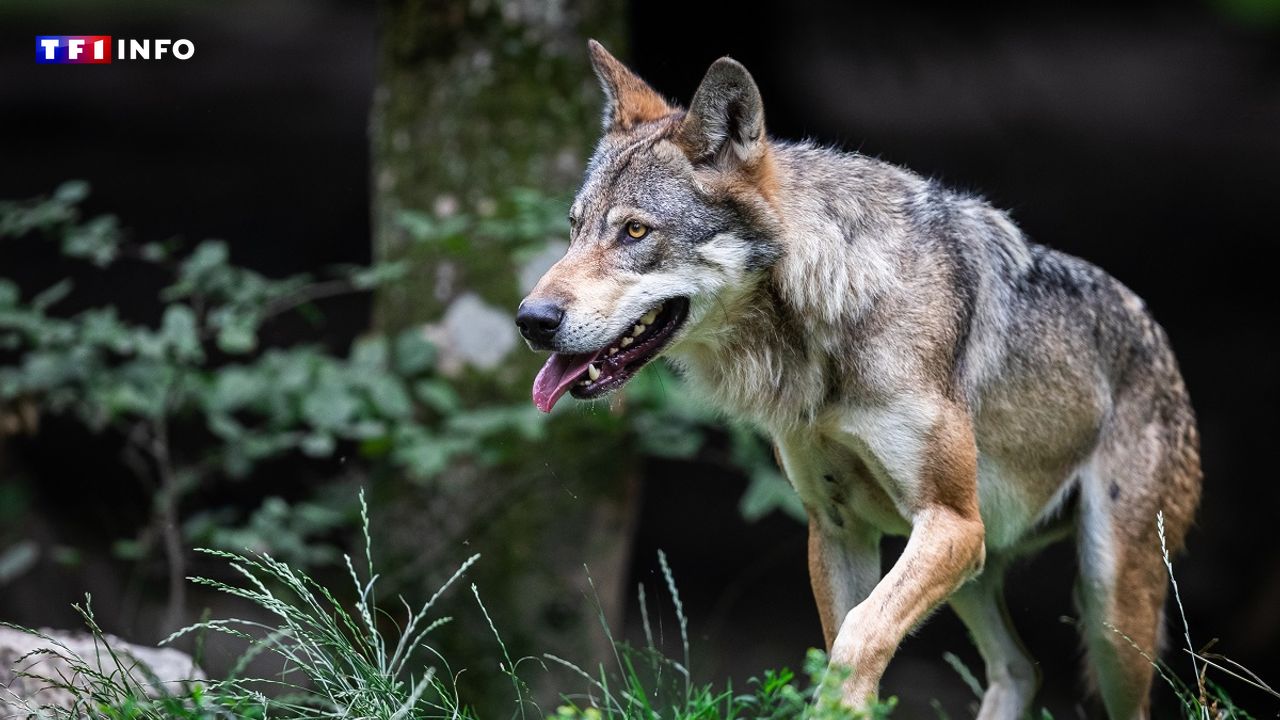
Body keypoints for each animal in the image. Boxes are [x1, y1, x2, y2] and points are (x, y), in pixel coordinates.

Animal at [516, 41, 1202, 719]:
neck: (826, 321)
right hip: (984, 568)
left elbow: (857, 637)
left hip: (1104, 602)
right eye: (576, 227)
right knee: (1020, 670)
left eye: (635, 231)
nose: (531, 320)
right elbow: (839, 639)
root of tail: (1159, 338)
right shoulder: (839, 525)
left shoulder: (951, 522)